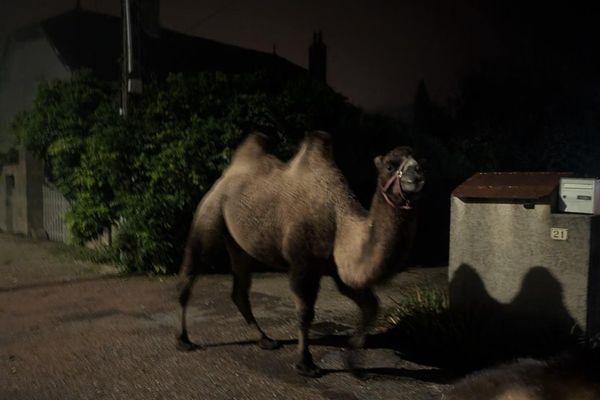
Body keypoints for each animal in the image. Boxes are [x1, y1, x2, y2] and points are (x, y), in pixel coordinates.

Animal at [176, 130, 424, 376]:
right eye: (390, 166)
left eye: (420, 161)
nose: (418, 174)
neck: (340, 220)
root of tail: (225, 177)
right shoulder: (303, 263)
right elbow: (305, 313)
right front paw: (306, 363)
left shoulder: (338, 271)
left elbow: (371, 306)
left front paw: (353, 363)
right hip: (210, 213)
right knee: (191, 273)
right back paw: (184, 340)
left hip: (240, 245)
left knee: (240, 290)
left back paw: (265, 339)